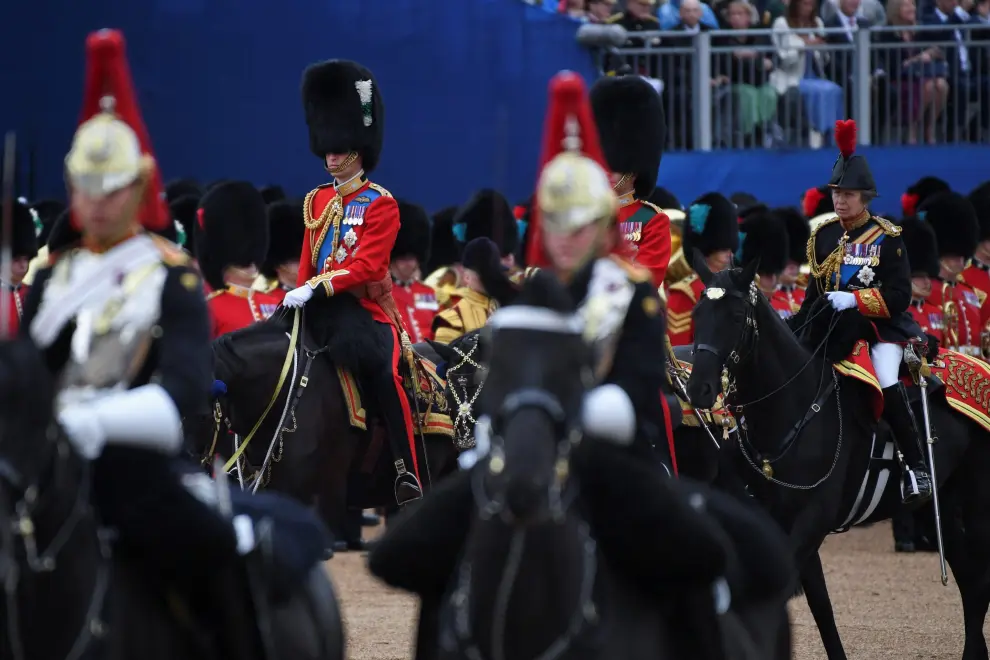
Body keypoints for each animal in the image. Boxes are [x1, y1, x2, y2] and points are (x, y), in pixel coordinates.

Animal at [688, 256, 990, 660]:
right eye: (697, 313)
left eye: (737, 315)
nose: (699, 389)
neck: (792, 405)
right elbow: (820, 608)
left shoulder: (812, 520)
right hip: (945, 506)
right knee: (971, 585)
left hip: (977, 505)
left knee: (979, 585)